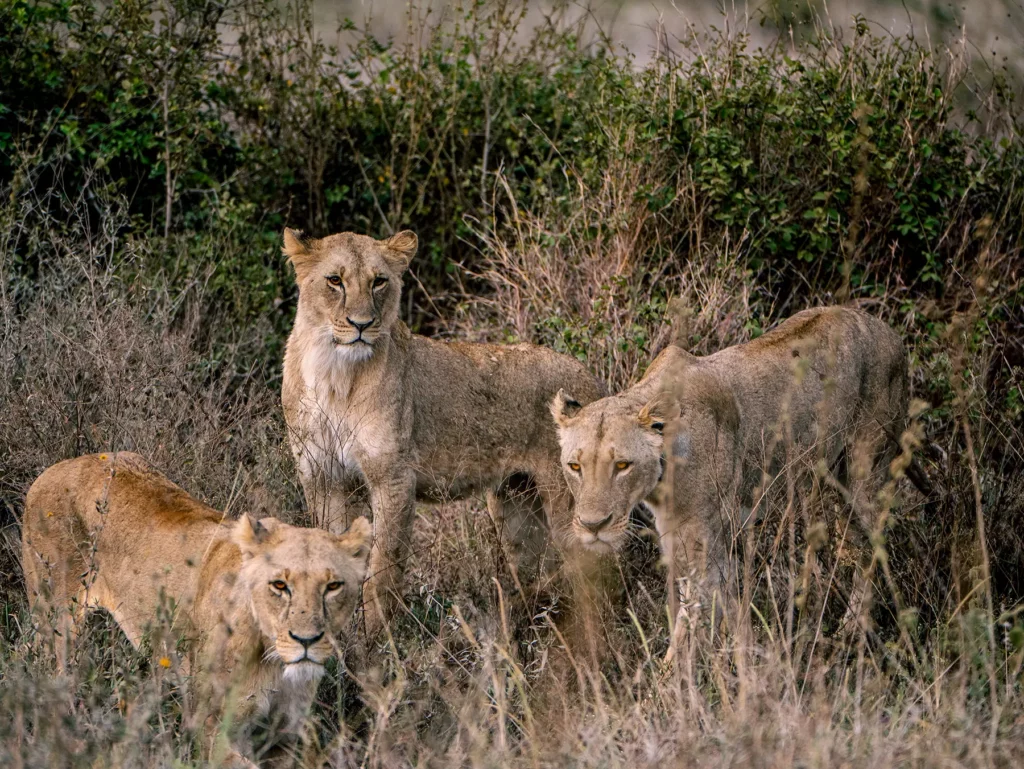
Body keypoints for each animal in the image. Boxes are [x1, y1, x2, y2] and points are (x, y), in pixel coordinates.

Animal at [21, 452, 372, 768]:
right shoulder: (211, 728)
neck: (272, 658)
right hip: (57, 626)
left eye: (333, 586)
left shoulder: (281, 738)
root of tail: (58, 467)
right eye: (280, 585)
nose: (307, 641)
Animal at [280, 228, 602, 629]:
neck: (334, 374)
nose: (361, 324)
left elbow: (383, 566)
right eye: (335, 281)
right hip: (515, 503)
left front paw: (379, 636)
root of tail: (591, 376)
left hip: (569, 501)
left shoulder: (393, 478)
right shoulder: (322, 479)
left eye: (379, 281)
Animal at [550, 307, 909, 634]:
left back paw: (852, 628)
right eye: (575, 466)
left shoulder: (703, 541)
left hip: (866, 470)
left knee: (873, 541)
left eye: (623, 466)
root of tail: (888, 330)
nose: (593, 526)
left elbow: (690, 626)